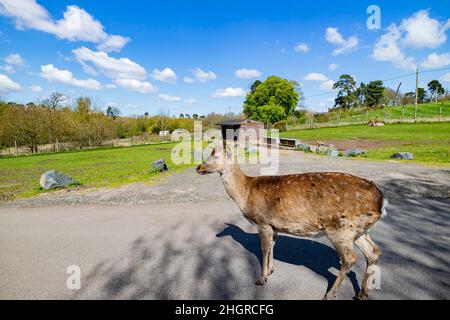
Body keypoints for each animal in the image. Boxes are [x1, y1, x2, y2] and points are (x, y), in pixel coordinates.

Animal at [197, 148, 386, 300]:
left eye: (215, 156)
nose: (198, 167)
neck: (246, 193)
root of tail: (380, 200)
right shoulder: (274, 225)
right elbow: (272, 245)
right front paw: (271, 270)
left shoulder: (262, 221)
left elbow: (264, 248)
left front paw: (261, 279)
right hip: (359, 230)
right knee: (373, 252)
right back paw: (361, 293)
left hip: (340, 228)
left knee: (349, 258)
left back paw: (330, 294)